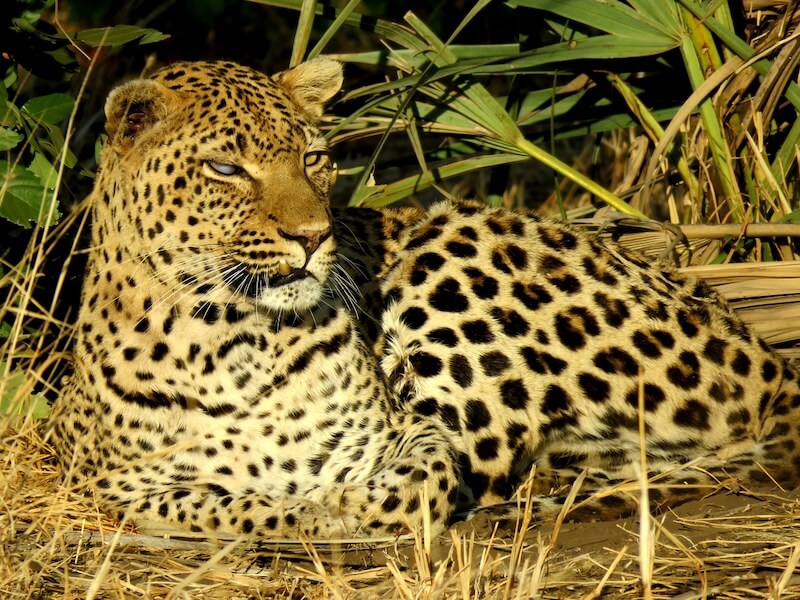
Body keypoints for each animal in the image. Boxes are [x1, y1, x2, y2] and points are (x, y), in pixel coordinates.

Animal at [49, 57, 800, 540]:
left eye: (314, 159)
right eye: (225, 168)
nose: (313, 236)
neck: (234, 339)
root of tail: (760, 355)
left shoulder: (401, 432)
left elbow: (420, 476)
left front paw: (342, 505)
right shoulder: (113, 482)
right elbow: (227, 504)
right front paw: (308, 508)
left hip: (449, 263)